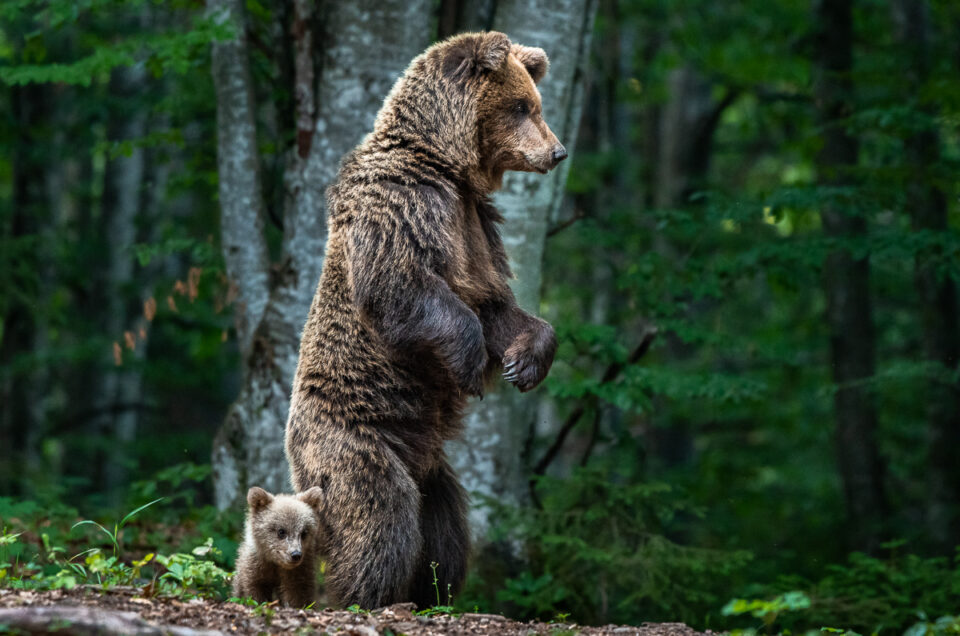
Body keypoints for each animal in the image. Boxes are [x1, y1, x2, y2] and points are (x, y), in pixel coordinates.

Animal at [284, 31, 568, 612]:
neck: (447, 165)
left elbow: (497, 307)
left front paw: (524, 363)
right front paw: (470, 367)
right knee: (381, 514)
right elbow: (402, 288)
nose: (557, 152)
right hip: (354, 439)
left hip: (431, 463)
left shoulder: (475, 224)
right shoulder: (405, 204)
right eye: (522, 106)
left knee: (445, 530)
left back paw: (432, 591)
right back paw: (361, 595)